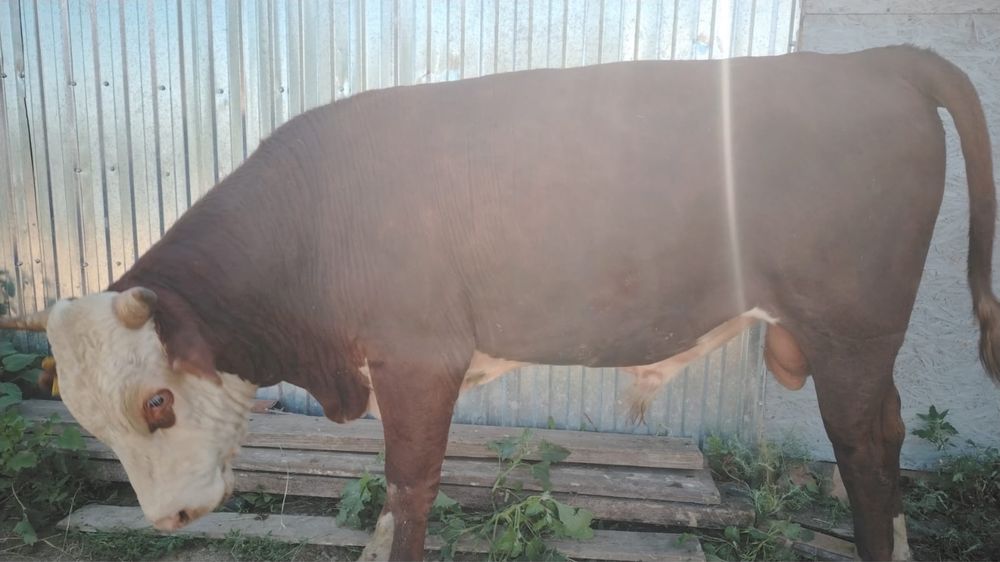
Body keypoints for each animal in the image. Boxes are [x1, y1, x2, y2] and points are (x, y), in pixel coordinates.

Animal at [1, 44, 997, 561]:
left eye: (157, 401)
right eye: (89, 422)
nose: (166, 520)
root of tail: (867, 57)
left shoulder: (419, 357)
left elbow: (410, 487)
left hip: (850, 332)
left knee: (864, 457)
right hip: (857, 342)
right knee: (890, 436)